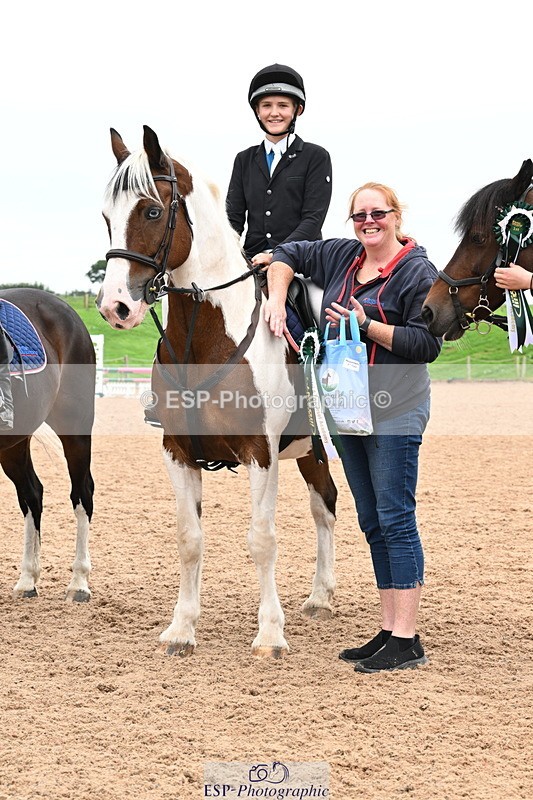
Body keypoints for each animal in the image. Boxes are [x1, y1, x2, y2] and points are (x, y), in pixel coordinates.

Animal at [0, 289, 95, 601]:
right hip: (14, 444)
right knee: (32, 494)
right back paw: (28, 579)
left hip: (75, 427)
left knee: (82, 493)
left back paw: (79, 583)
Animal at [97, 125, 337, 658]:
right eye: (106, 217)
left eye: (152, 211)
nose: (115, 307)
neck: (204, 339)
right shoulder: (177, 451)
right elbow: (189, 539)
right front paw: (182, 628)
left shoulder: (260, 454)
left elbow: (262, 539)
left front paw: (269, 634)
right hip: (309, 452)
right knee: (325, 504)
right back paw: (320, 596)